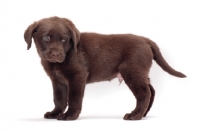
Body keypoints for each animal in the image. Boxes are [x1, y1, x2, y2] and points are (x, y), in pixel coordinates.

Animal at [23, 16, 186, 120]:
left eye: (64, 39)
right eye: (46, 38)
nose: (56, 54)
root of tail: (146, 40)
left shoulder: (77, 76)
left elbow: (73, 98)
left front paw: (70, 115)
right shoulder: (57, 80)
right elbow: (59, 99)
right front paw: (54, 113)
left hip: (132, 71)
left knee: (144, 93)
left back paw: (135, 115)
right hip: (140, 72)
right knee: (151, 90)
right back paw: (144, 114)